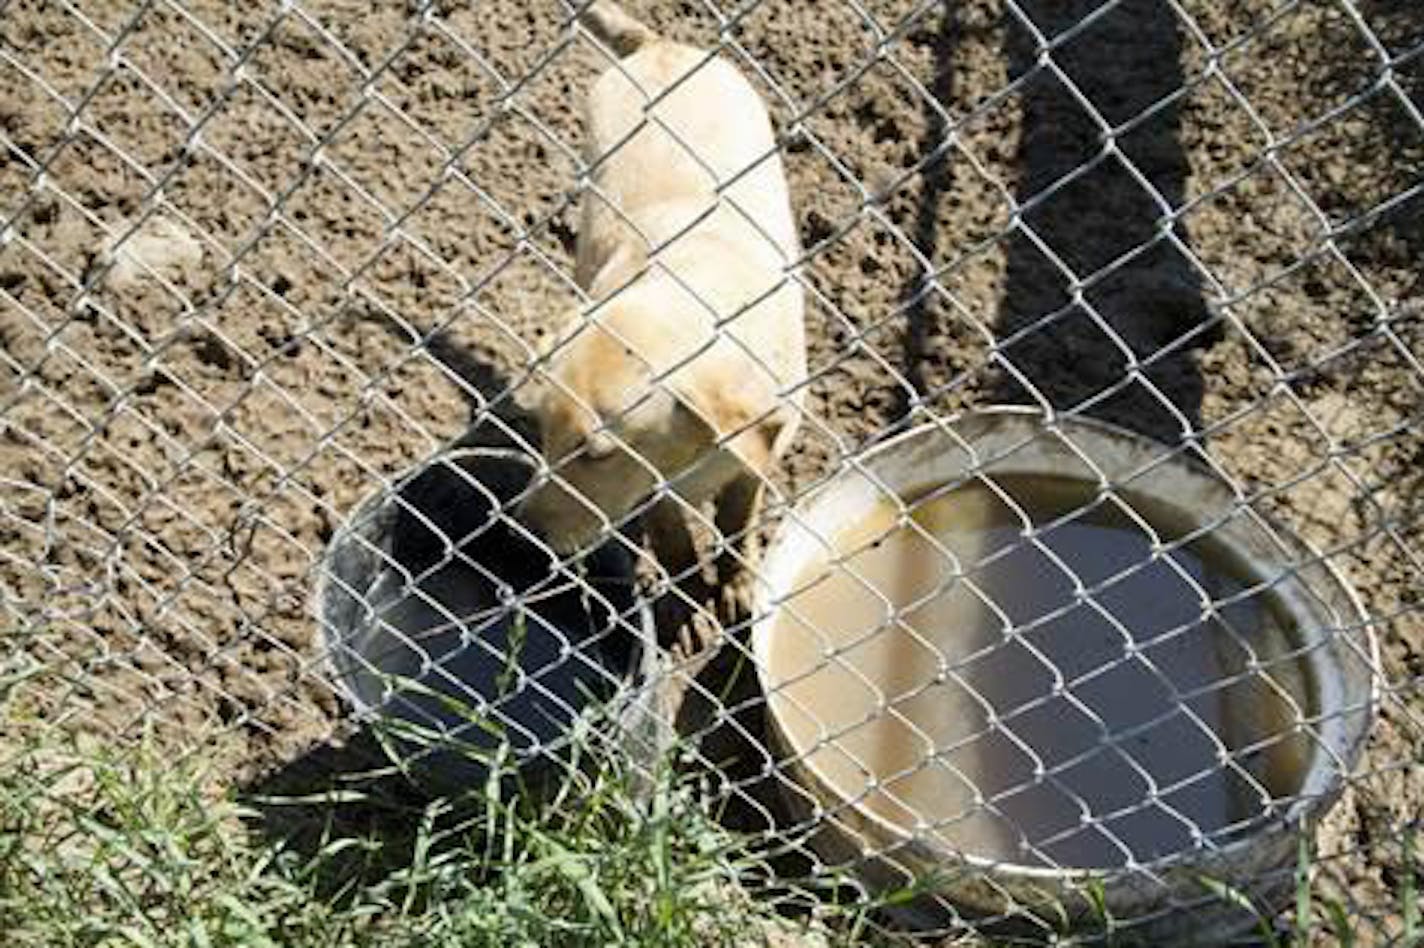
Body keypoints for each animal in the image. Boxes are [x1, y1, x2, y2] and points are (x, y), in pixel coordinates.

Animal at [521, 0, 814, 592]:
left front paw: (736, 587)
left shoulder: (761, 452)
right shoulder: (654, 490)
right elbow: (673, 535)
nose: (523, 535)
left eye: (597, 455)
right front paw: (686, 597)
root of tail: (657, 47)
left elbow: (739, 519)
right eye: (541, 427)